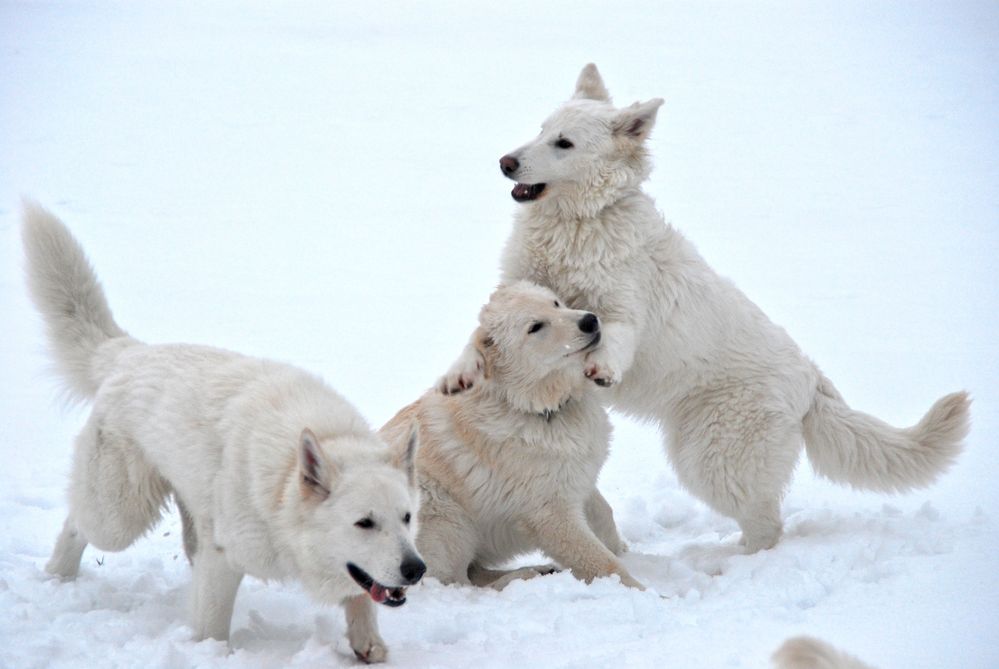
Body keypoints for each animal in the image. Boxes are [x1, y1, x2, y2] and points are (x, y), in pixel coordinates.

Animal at [22, 204, 422, 664]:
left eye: (407, 518)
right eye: (364, 523)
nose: (417, 569)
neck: (282, 487)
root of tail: (129, 353)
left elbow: (361, 595)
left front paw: (367, 643)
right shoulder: (223, 557)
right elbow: (213, 623)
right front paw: (211, 654)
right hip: (119, 516)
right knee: (77, 523)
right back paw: (59, 575)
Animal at [442, 64, 972, 552]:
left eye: (564, 144)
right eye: (540, 131)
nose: (506, 163)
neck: (578, 225)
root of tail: (810, 377)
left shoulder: (622, 308)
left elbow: (614, 334)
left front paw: (603, 368)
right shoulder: (513, 294)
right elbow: (476, 339)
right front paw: (459, 375)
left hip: (711, 457)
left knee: (765, 526)